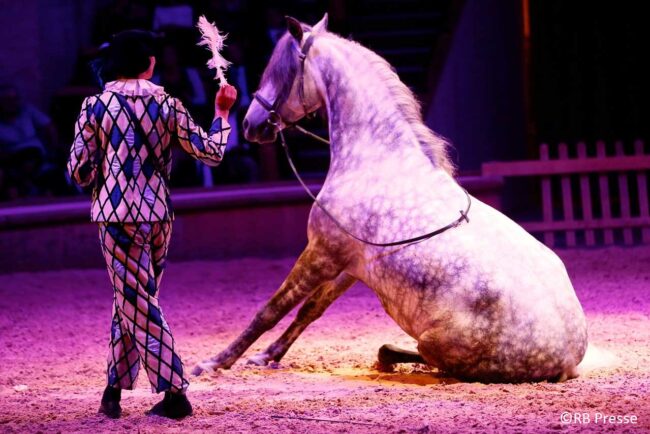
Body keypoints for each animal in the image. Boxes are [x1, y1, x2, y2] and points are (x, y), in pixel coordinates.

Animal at [192, 14, 588, 383]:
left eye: (280, 69)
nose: (250, 124)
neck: (376, 158)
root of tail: (569, 358)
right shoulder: (350, 266)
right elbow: (311, 309)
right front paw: (266, 356)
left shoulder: (322, 253)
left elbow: (271, 309)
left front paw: (215, 362)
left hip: (434, 343)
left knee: (423, 357)